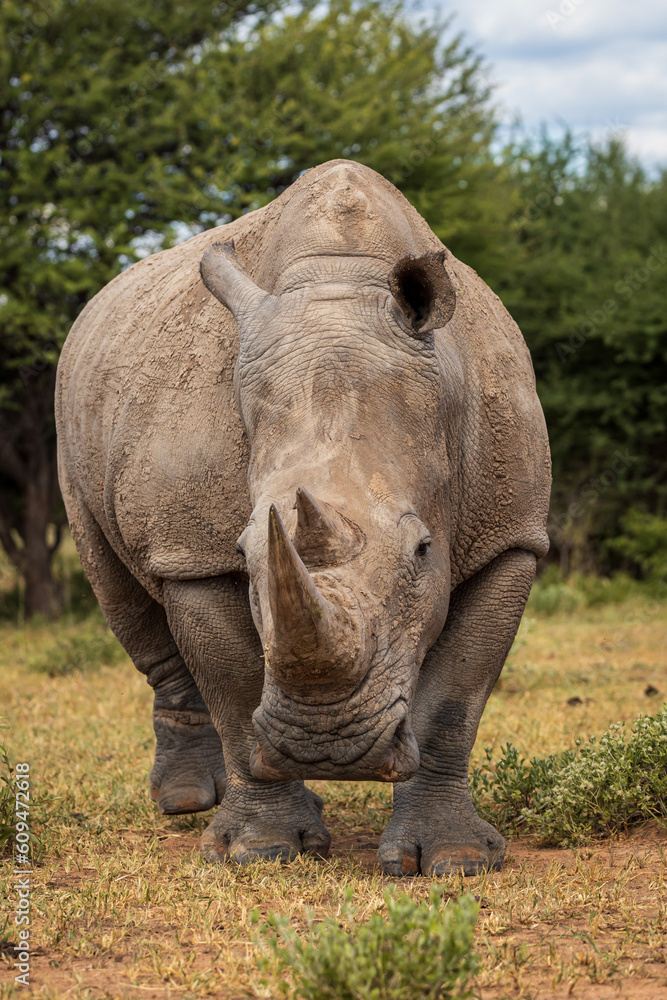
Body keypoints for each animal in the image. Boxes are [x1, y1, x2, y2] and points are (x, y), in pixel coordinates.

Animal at [55, 159, 550, 876]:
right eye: (243, 553)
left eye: (423, 551)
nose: (329, 747)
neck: (339, 285)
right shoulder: (191, 551)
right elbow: (235, 688)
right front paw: (259, 850)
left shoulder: (512, 535)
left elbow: (455, 699)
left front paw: (455, 860)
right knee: (118, 591)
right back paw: (186, 803)